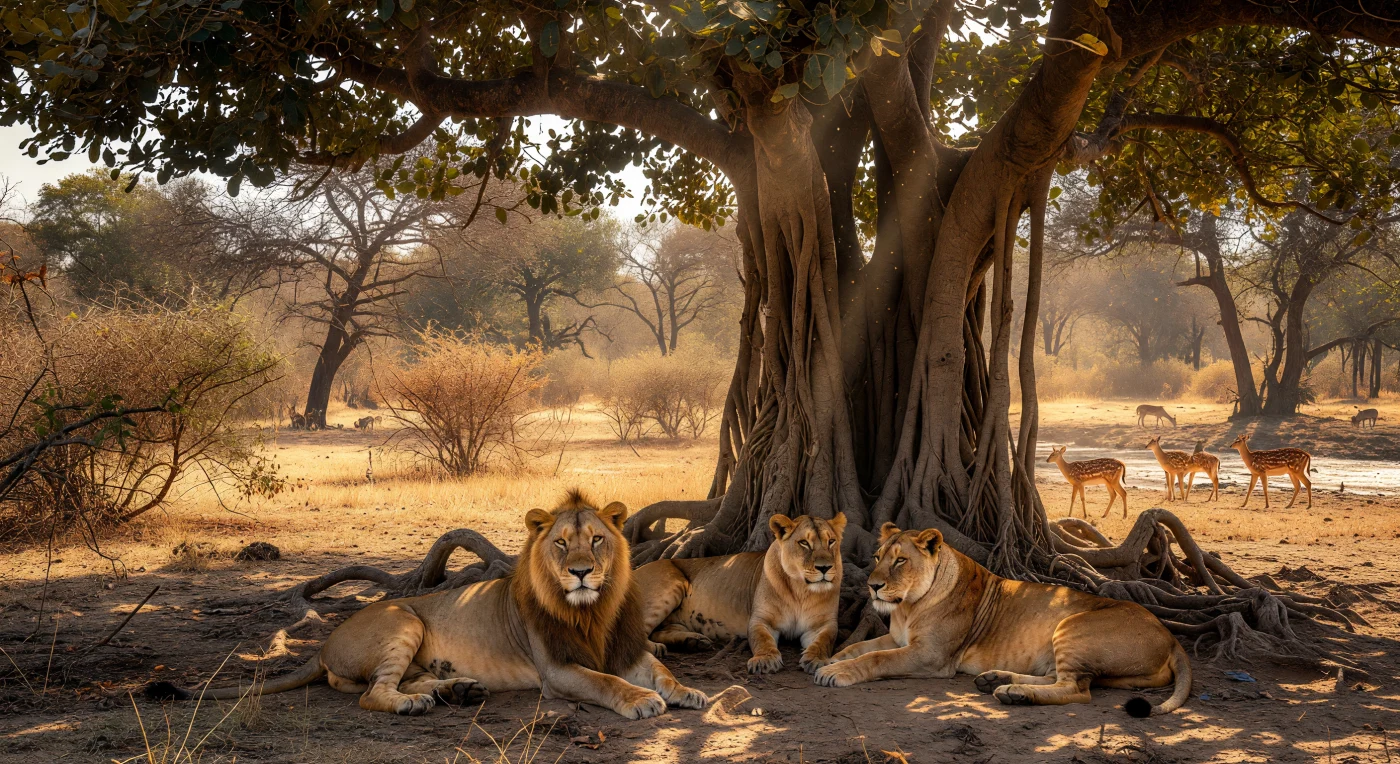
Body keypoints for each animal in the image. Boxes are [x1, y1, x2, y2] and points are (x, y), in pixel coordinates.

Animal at [147, 491, 708, 718]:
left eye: (596, 540)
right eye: (560, 544)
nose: (581, 572)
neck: (590, 609)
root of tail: (323, 643)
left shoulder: (626, 649)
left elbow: (661, 670)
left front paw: (689, 692)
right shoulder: (558, 670)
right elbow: (606, 683)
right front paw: (641, 702)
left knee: (389, 682)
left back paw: (455, 689)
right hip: (403, 617)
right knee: (374, 693)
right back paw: (419, 702)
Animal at [634, 513, 846, 674]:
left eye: (831, 541)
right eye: (804, 543)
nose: (825, 568)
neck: (801, 590)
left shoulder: (823, 624)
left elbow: (824, 640)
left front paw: (817, 659)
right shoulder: (760, 620)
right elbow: (762, 640)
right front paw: (765, 660)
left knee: (660, 631)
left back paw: (693, 642)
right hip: (671, 585)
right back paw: (659, 648)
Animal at [814, 524, 1191, 718]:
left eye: (900, 561)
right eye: (877, 557)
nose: (872, 585)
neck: (908, 606)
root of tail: (1171, 636)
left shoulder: (931, 657)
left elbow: (876, 658)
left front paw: (834, 672)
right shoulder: (898, 638)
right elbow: (861, 646)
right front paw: (825, 659)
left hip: (1072, 626)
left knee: (1078, 690)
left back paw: (1013, 693)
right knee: (1059, 678)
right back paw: (998, 681)